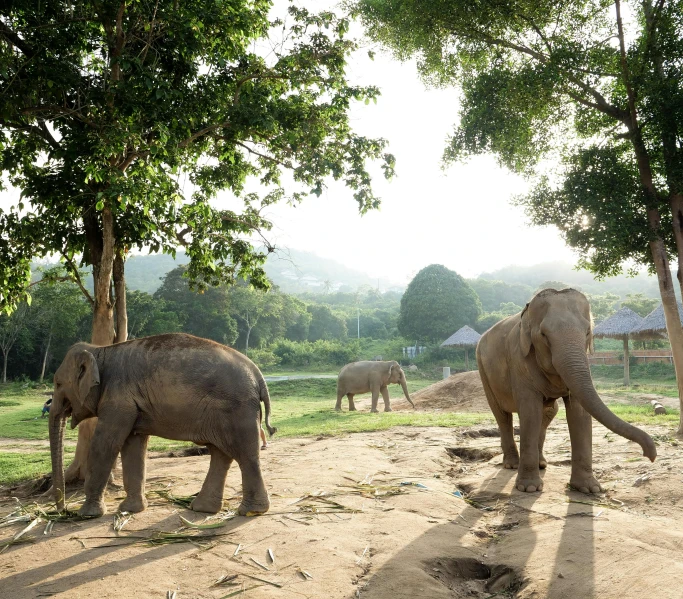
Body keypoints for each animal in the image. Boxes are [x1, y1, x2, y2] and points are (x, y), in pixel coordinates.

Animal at [49, 336, 276, 516]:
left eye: (58, 384)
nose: (62, 511)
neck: (100, 350)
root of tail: (259, 376)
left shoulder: (118, 401)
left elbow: (105, 444)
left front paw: (87, 514)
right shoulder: (130, 405)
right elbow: (133, 445)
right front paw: (130, 510)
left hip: (237, 410)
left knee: (245, 456)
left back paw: (251, 511)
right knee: (221, 454)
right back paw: (202, 508)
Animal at [476, 288, 656, 494]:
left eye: (587, 332)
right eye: (544, 335)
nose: (650, 456)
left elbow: (580, 412)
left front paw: (589, 489)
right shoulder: (519, 360)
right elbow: (529, 411)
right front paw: (529, 488)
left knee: (549, 412)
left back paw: (541, 464)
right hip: (482, 369)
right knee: (502, 415)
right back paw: (512, 465)